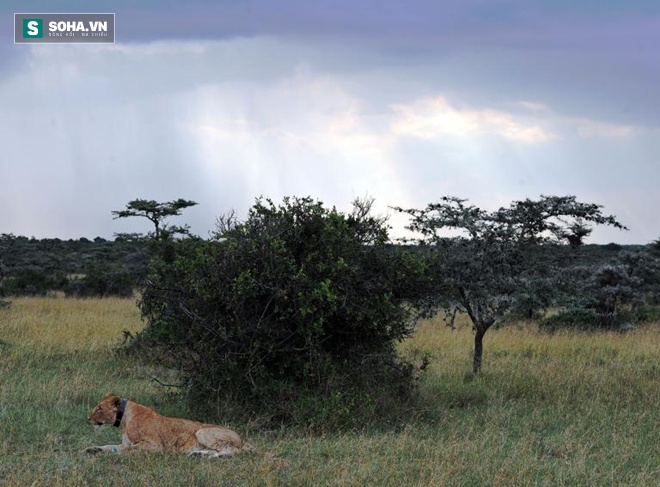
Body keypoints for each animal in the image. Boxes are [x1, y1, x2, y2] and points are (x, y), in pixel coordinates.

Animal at [85, 392, 255, 458]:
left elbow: (129, 449)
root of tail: (241, 440)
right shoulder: (123, 443)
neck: (124, 421)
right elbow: (108, 446)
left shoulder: (155, 446)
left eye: (99, 408)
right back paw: (197, 454)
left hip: (202, 432)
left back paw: (215, 456)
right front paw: (91, 450)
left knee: (232, 450)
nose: (88, 418)